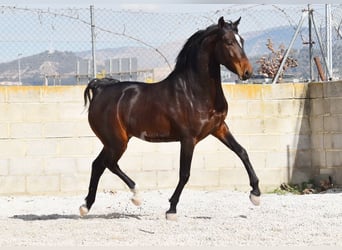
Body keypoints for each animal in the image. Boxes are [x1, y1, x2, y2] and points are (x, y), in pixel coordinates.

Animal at [80, 15, 260, 220]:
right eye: (228, 41)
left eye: (242, 41)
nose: (248, 72)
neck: (194, 92)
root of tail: (100, 89)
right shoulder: (188, 139)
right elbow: (185, 174)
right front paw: (171, 209)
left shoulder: (220, 128)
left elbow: (242, 152)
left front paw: (255, 194)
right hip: (117, 142)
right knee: (109, 163)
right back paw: (136, 195)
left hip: (112, 142)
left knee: (98, 165)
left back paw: (86, 206)